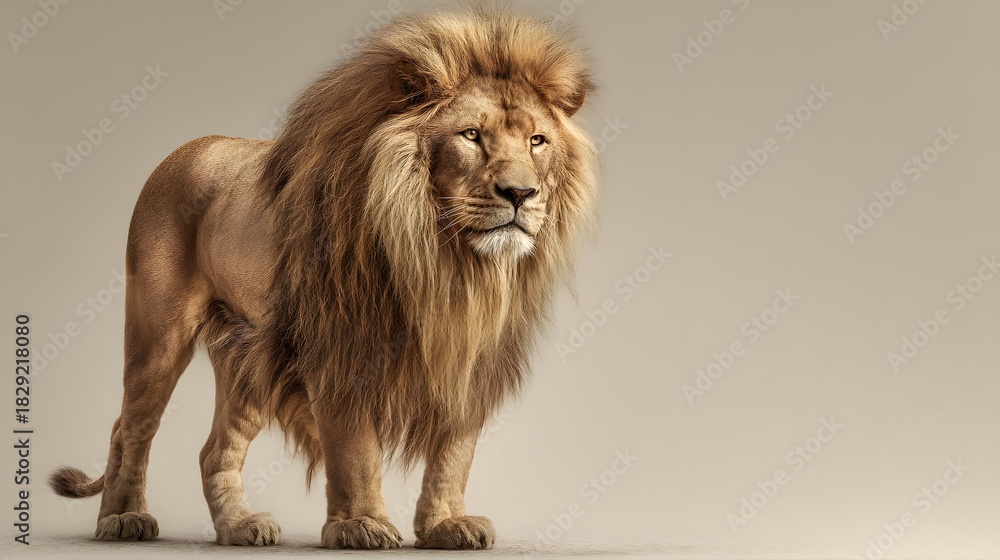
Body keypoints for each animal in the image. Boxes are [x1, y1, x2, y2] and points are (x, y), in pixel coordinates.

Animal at [49, 6, 598, 550]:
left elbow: (453, 455)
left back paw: (239, 528)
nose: (521, 194)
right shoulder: (338, 348)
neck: (444, 259)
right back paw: (122, 520)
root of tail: (183, 151)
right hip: (158, 336)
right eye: (470, 136)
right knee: (130, 429)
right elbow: (354, 451)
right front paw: (362, 525)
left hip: (249, 357)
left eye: (537, 141)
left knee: (213, 452)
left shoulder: (471, 359)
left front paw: (446, 525)